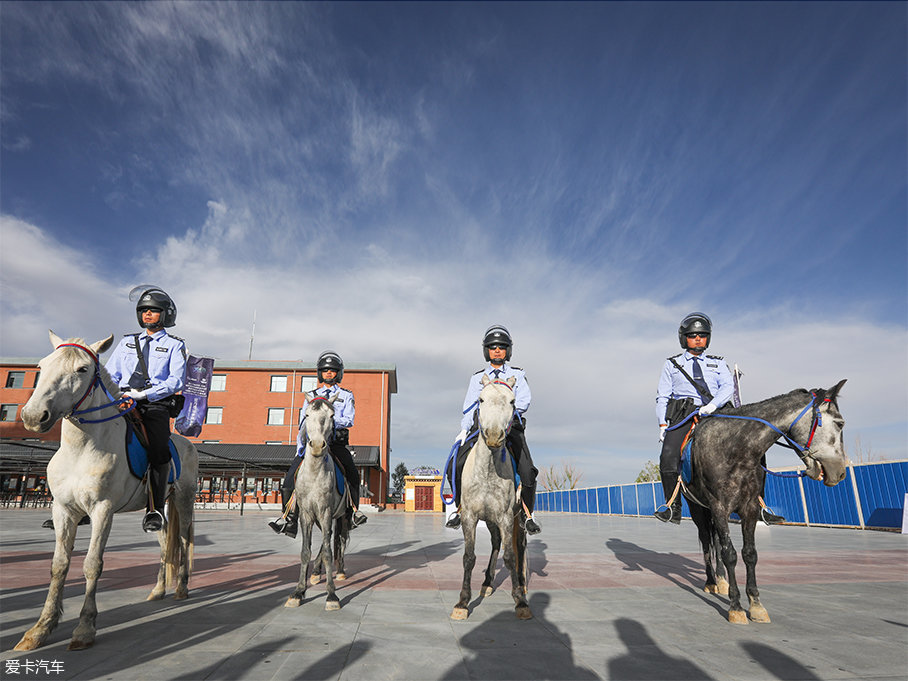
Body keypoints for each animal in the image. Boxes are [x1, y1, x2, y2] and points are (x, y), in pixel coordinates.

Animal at [14, 332, 200, 652]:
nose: (34, 416)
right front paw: (40, 629)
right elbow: (58, 565)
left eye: (82, 369)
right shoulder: (62, 510)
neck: (80, 449)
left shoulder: (102, 509)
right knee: (166, 543)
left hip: (184, 498)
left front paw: (84, 629)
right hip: (160, 506)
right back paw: (158, 590)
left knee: (184, 539)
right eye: (41, 365)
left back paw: (182, 588)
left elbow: (92, 564)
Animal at [282, 390, 350, 608]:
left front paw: (332, 595)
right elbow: (306, 551)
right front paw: (298, 592)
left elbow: (329, 552)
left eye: (332, 416)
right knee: (328, 539)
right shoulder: (306, 514)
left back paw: (340, 571)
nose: (318, 446)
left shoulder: (325, 511)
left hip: (341, 516)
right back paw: (315, 573)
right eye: (306, 415)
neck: (314, 472)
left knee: (340, 540)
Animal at [448, 374, 528, 620]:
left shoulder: (505, 517)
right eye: (480, 400)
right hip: (490, 519)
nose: (493, 436)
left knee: (519, 546)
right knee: (495, 542)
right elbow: (469, 557)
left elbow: (510, 557)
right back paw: (487, 583)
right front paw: (463, 603)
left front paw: (520, 601)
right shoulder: (470, 516)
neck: (488, 470)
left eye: (512, 401)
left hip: (516, 519)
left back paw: (521, 585)